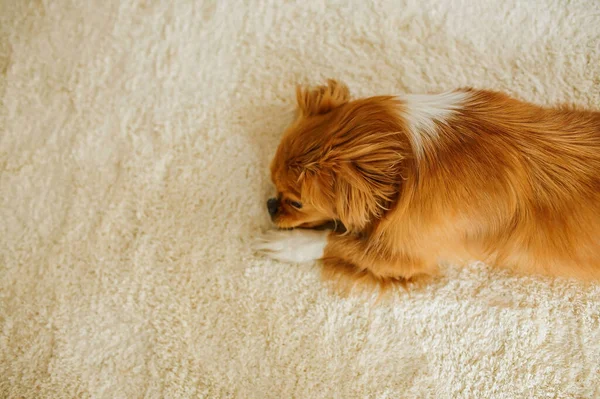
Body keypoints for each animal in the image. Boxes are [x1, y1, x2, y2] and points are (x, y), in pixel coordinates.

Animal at [255, 79, 600, 290]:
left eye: (297, 202)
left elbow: (339, 243)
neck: (409, 159)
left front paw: (289, 244)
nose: (270, 205)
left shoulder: (405, 257)